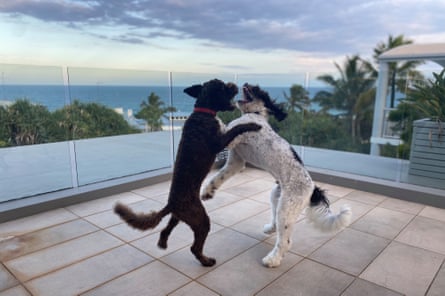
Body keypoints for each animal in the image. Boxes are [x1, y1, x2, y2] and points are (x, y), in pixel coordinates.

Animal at [114, 78, 260, 266]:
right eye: (223, 86)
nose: (233, 84)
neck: (203, 112)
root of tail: (171, 204)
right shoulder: (219, 142)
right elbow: (235, 129)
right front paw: (252, 125)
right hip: (200, 219)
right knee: (194, 248)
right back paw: (206, 261)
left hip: (178, 217)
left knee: (165, 230)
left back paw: (163, 243)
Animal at [200, 83, 350, 268]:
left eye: (257, 89)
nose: (246, 84)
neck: (256, 115)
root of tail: (313, 188)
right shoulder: (236, 162)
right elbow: (218, 177)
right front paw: (208, 191)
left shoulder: (231, 137)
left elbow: (223, 128)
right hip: (277, 197)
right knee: (278, 226)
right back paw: (271, 229)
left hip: (286, 208)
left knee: (285, 242)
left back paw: (273, 259)